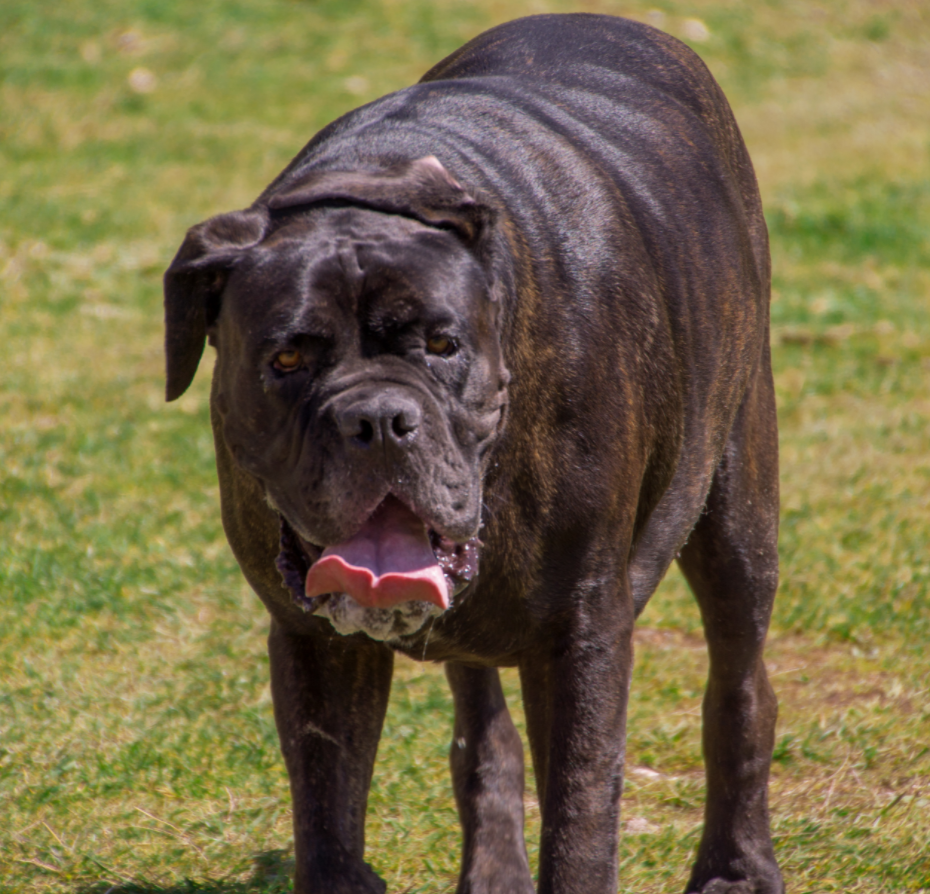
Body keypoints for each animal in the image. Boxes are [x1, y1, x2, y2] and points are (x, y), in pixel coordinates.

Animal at [163, 14, 780, 894]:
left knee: (739, 686)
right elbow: (327, 811)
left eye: (442, 344)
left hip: (735, 512)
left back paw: (739, 866)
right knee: (485, 725)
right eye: (285, 359)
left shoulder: (587, 632)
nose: (378, 419)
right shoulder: (314, 643)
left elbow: (582, 818)